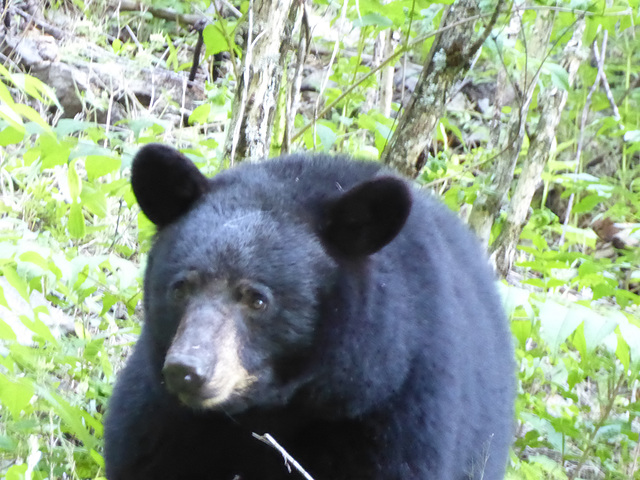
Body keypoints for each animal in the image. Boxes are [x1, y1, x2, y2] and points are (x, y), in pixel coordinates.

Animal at [105, 144, 516, 480]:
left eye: (257, 299)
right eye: (181, 287)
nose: (187, 371)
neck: (269, 412)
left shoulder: (396, 408)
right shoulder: (163, 419)